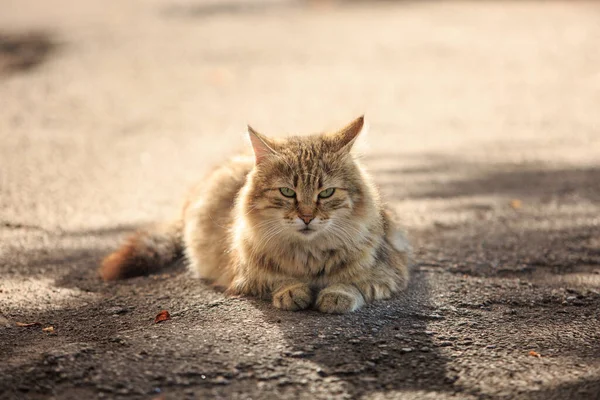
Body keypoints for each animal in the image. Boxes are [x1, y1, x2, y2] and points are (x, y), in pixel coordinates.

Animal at [99, 115, 408, 312]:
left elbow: (353, 283)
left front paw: (336, 294)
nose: (307, 217)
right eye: (287, 193)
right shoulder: (245, 275)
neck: (309, 256)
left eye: (326, 193)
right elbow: (280, 280)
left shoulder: (390, 272)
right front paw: (293, 292)